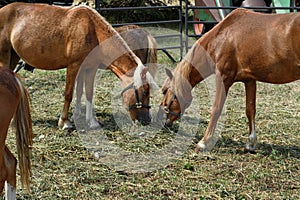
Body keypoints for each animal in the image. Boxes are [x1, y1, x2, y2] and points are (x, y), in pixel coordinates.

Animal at [0, 2, 158, 130]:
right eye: (144, 92)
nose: (147, 120)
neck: (92, 31)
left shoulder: (90, 67)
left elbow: (85, 92)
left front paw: (90, 121)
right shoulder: (74, 66)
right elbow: (69, 93)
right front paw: (64, 122)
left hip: (13, 57)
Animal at [159, 7, 300, 152]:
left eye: (164, 91)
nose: (162, 121)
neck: (222, 38)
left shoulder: (223, 78)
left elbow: (216, 108)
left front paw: (203, 142)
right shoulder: (249, 80)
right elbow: (250, 110)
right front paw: (251, 143)